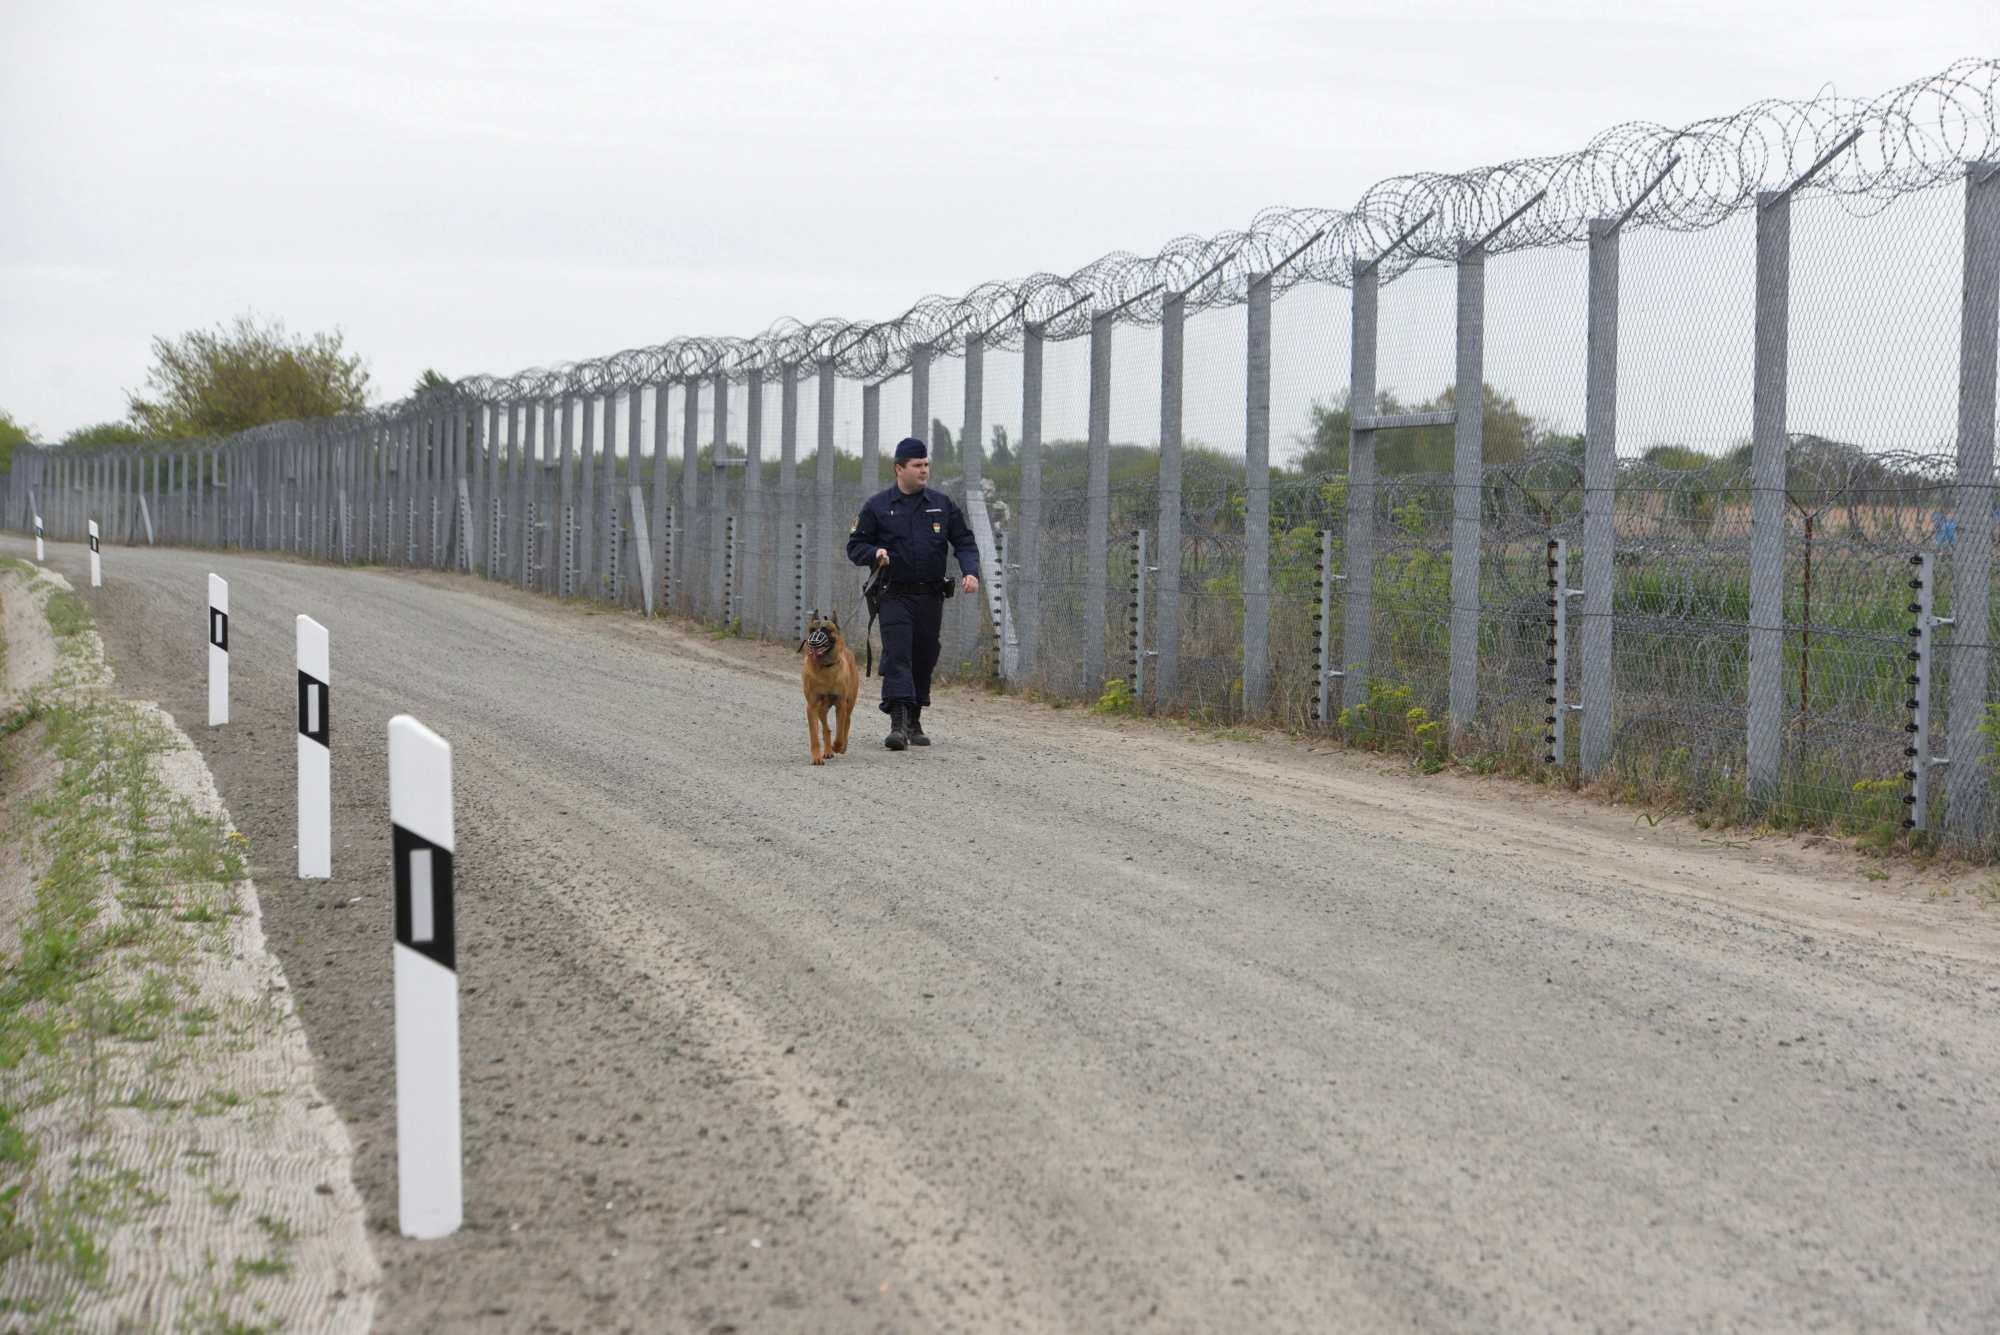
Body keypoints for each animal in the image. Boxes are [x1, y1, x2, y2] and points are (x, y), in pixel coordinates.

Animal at [796, 611, 860, 767]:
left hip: (849, 703)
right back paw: (828, 751)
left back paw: (841, 747)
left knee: (846, 724)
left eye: (825, 630)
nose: (813, 641)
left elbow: (839, 733)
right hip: (821, 710)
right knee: (826, 730)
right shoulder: (812, 707)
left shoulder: (841, 705)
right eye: (811, 630)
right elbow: (815, 736)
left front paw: (837, 746)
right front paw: (817, 757)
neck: (825, 667)